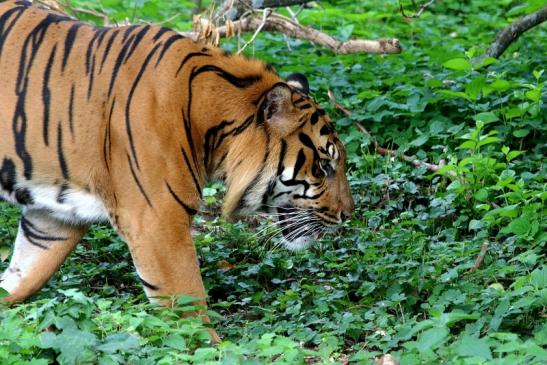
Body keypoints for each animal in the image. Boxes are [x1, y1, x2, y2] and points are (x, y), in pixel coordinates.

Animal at [0, 0, 356, 336]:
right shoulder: (156, 220)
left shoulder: (56, 216)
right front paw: (218, 348)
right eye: (324, 166)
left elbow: (23, 276)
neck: (212, 124)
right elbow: (188, 306)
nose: (348, 215)